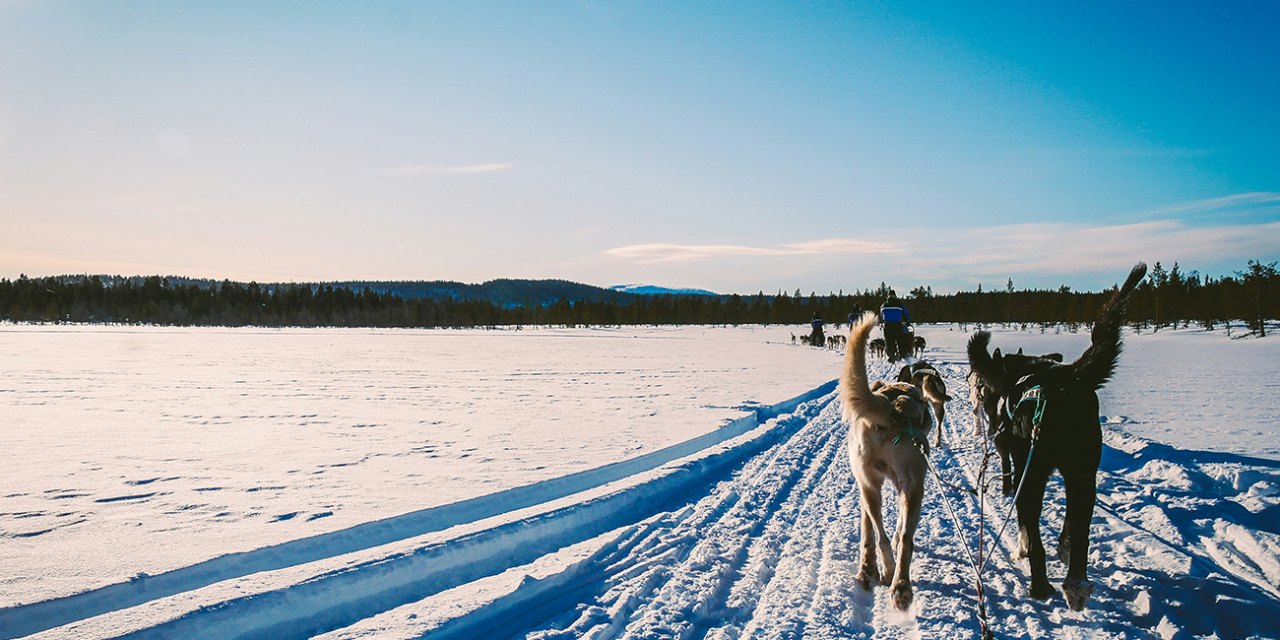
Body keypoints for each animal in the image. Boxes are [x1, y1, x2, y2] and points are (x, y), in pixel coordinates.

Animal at [839, 309, 931, 609]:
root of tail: (891, 406)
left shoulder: (866, 485)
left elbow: (868, 528)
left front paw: (868, 566)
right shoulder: (908, 485)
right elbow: (900, 528)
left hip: (871, 485)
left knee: (881, 536)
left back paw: (879, 571)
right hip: (914, 485)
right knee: (904, 539)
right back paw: (901, 584)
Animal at [967, 262, 1152, 611]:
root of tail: (1065, 383)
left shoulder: (1017, 462)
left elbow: (1023, 521)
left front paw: (1022, 547)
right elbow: (1069, 526)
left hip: (1034, 474)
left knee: (1035, 534)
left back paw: (1039, 584)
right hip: (1083, 474)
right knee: (1081, 533)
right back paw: (1075, 581)